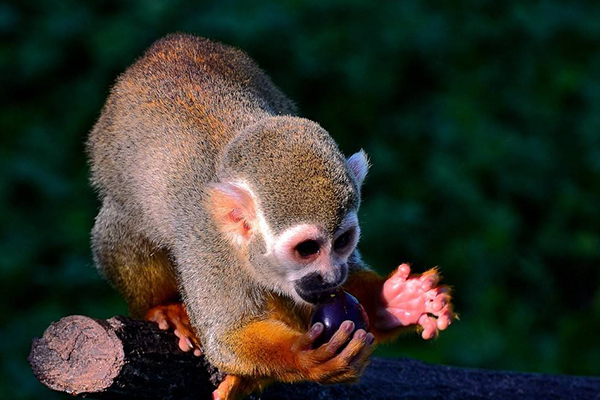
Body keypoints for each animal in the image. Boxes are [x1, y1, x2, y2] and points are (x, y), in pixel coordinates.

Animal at [88, 34, 454, 400]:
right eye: (307, 249)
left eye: (342, 242)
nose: (332, 275)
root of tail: (170, 42)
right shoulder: (209, 248)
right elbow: (226, 337)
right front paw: (302, 357)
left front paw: (395, 301)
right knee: (125, 228)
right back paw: (162, 307)